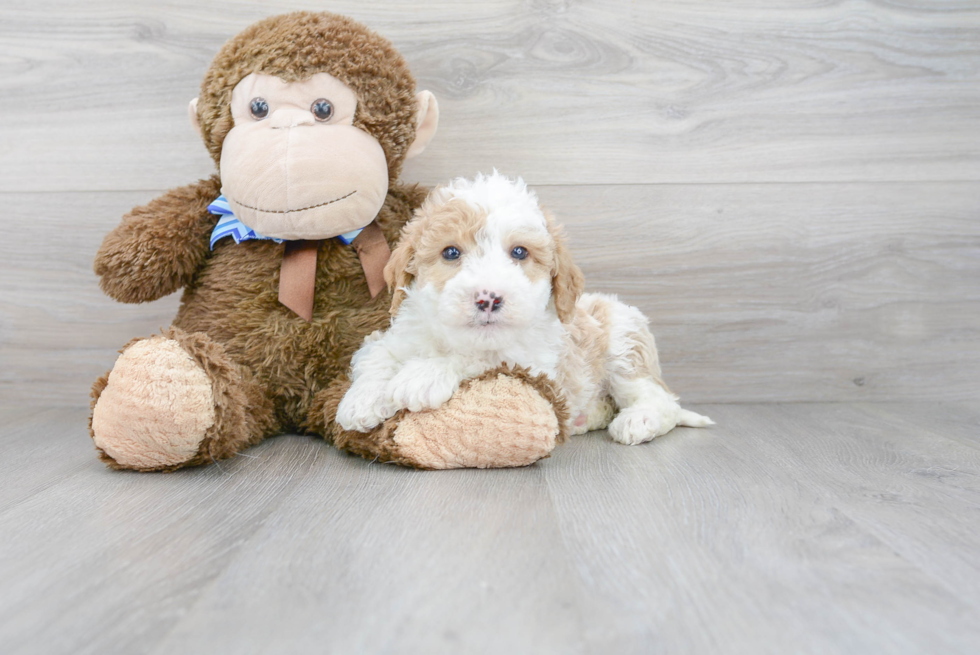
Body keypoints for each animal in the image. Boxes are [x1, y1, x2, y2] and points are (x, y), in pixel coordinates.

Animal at [336, 170, 712, 446]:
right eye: (451, 252)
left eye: (519, 252)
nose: (488, 298)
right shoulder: (395, 334)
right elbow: (376, 355)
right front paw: (361, 400)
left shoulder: (530, 361)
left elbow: (480, 358)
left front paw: (422, 375)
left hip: (623, 343)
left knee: (660, 398)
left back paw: (638, 420)